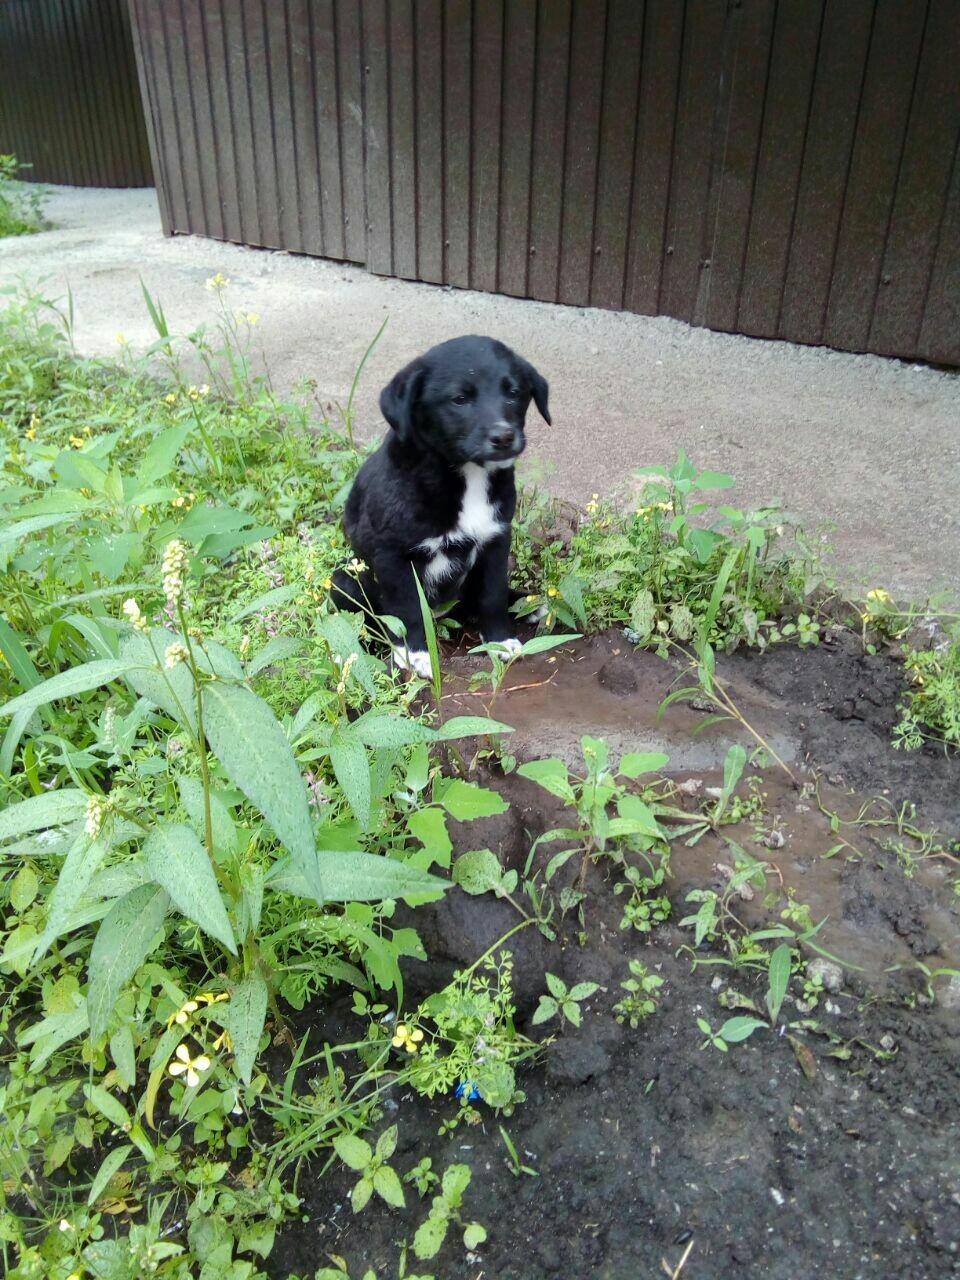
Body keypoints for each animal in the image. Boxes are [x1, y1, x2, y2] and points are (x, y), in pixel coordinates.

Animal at [335, 332, 552, 680]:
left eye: (514, 393)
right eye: (459, 399)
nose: (504, 436)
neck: (466, 475)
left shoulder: (495, 540)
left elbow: (492, 595)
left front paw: (500, 640)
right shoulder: (391, 556)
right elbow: (408, 609)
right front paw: (416, 654)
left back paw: (525, 603)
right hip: (346, 577)